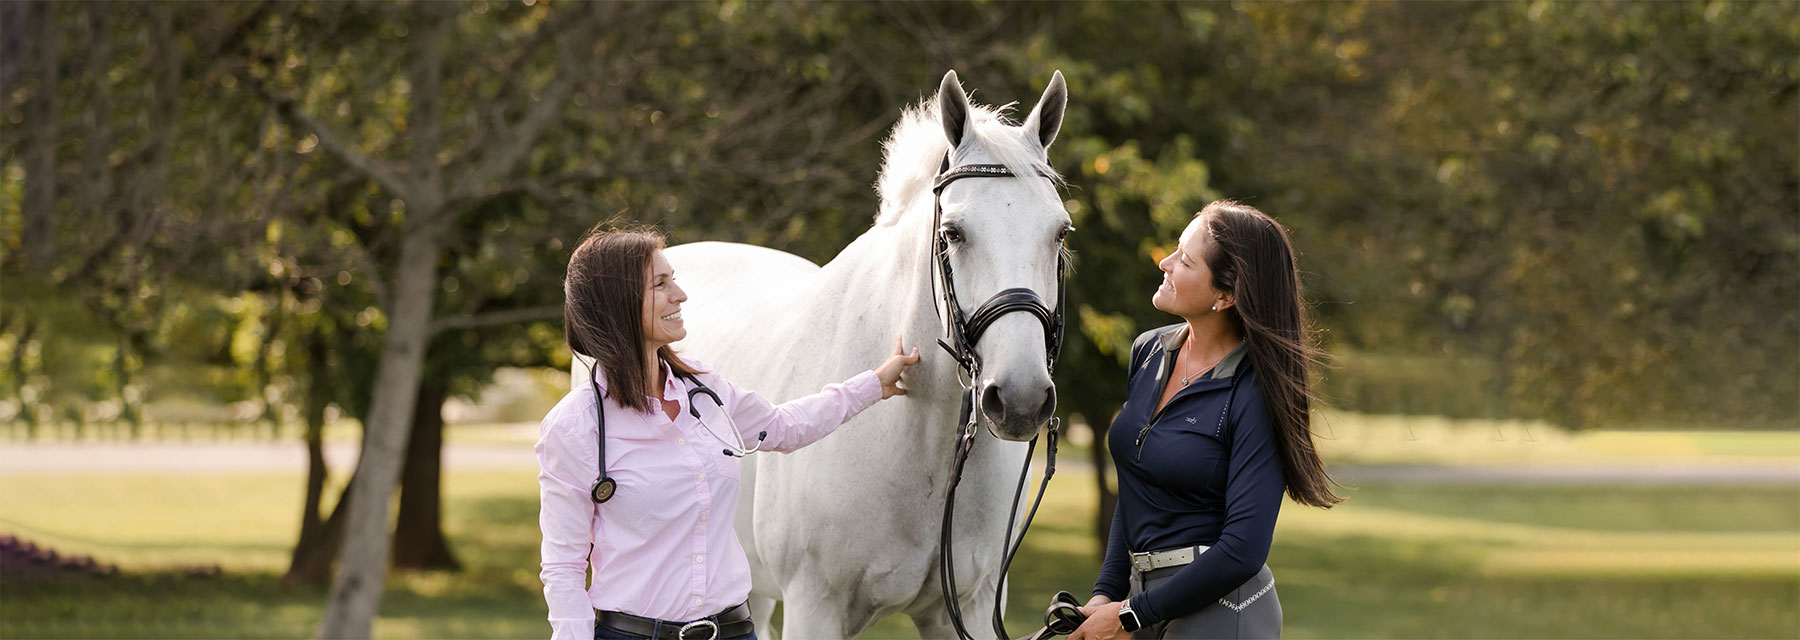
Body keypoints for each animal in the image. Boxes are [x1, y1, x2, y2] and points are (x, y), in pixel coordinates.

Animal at [590, 71, 1065, 640]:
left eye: (1060, 232)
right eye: (953, 233)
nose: (1020, 400)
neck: (918, 439)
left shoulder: (965, 608)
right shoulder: (814, 605)